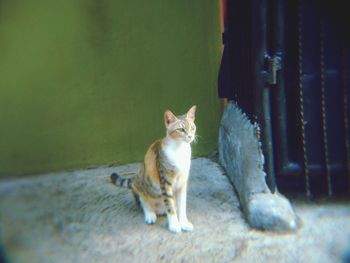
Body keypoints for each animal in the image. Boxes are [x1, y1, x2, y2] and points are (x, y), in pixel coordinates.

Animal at [110, 106, 197, 234]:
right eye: (181, 129)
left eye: (192, 127)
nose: (190, 136)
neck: (180, 149)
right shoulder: (165, 182)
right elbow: (170, 205)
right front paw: (174, 225)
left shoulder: (183, 182)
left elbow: (182, 205)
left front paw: (184, 223)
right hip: (139, 182)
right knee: (143, 201)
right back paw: (150, 215)